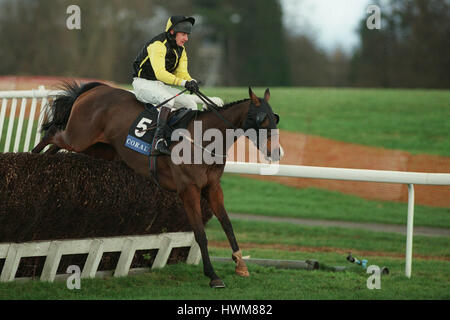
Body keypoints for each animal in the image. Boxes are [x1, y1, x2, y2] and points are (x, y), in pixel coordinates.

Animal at [33, 82, 282, 288]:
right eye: (261, 120)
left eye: (275, 118)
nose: (277, 152)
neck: (204, 139)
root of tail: (97, 89)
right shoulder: (188, 190)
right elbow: (200, 233)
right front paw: (213, 275)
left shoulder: (212, 187)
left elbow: (227, 224)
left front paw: (240, 264)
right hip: (79, 137)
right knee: (52, 133)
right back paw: (31, 156)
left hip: (96, 148)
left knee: (56, 145)